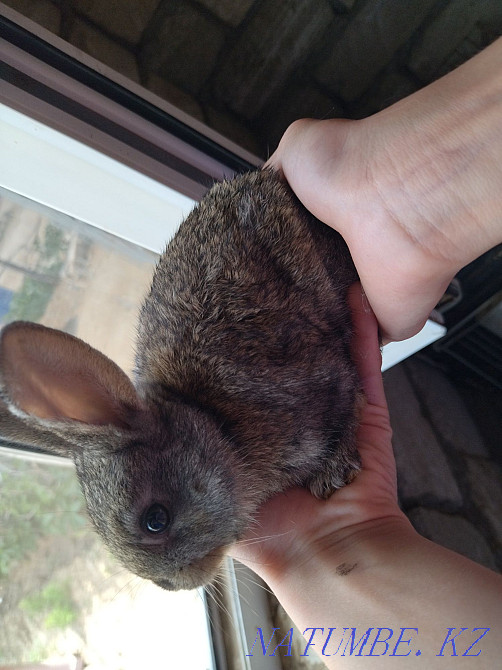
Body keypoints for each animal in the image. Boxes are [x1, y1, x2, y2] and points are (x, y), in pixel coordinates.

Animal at [0, 169, 361, 591]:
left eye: (156, 519)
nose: (172, 584)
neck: (220, 429)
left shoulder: (322, 382)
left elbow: (350, 400)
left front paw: (334, 473)